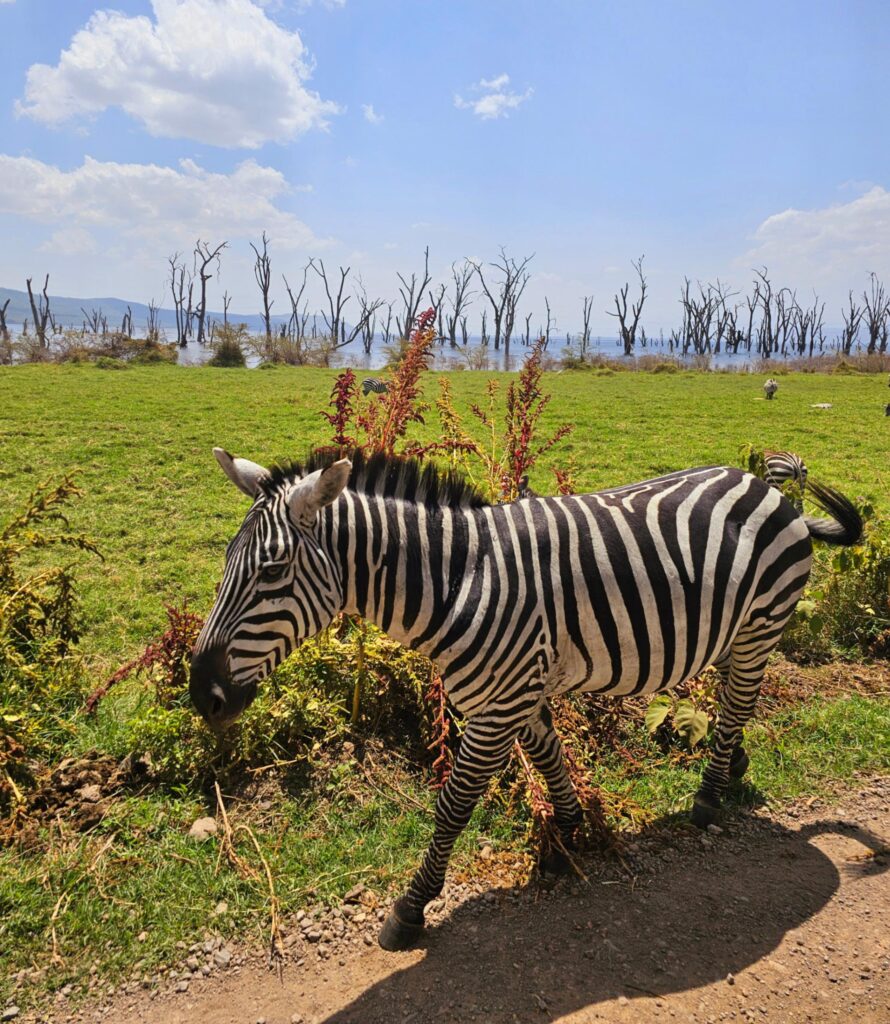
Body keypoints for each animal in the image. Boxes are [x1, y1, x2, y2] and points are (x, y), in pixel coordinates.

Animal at [189, 448, 860, 950]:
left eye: (272, 571)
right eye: (224, 563)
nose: (202, 698)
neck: (459, 582)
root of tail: (764, 485)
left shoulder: (499, 706)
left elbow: (452, 806)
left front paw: (411, 907)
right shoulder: (518, 692)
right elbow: (548, 757)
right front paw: (567, 833)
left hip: (760, 625)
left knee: (739, 702)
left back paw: (710, 796)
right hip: (728, 631)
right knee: (731, 704)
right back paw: (735, 765)